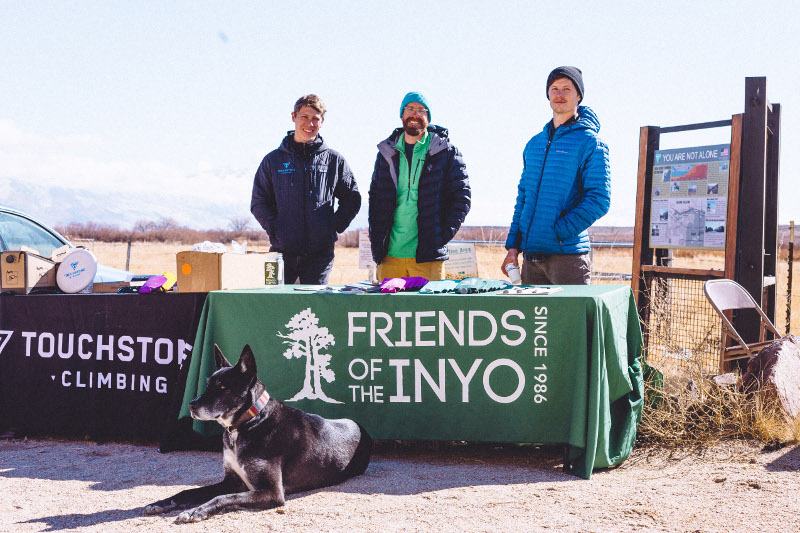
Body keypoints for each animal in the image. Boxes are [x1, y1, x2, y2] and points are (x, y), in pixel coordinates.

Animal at [144, 343, 372, 523]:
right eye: (207, 385)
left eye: (223, 387)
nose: (191, 406)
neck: (247, 423)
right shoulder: (231, 480)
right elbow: (191, 490)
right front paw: (162, 503)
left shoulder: (272, 492)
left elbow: (224, 498)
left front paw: (195, 511)